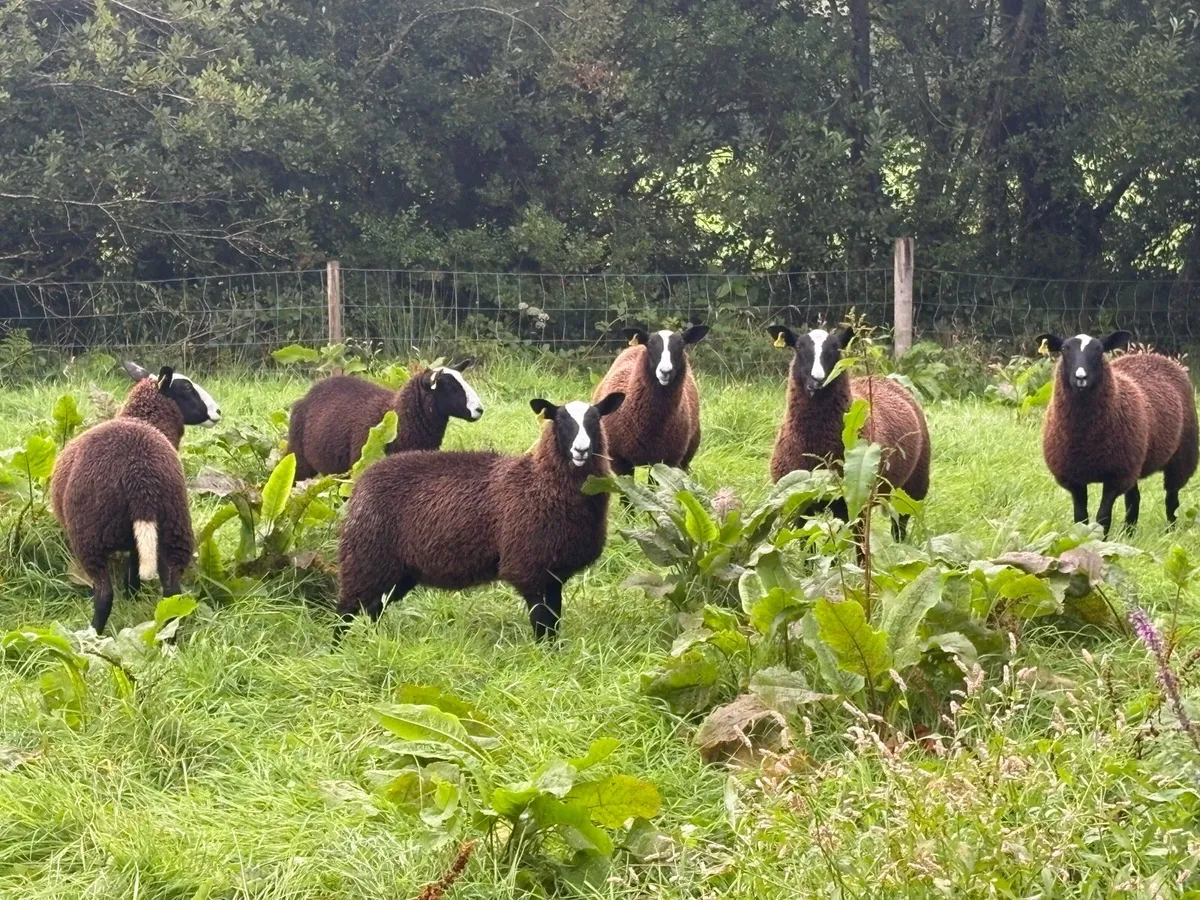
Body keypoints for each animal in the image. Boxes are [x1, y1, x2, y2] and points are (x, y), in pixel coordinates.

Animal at [50, 362, 221, 633]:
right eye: (186, 388)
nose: (218, 412)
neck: (144, 419)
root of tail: (141, 477)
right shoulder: (136, 539)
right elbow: (133, 565)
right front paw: (133, 594)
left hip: (89, 538)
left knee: (104, 596)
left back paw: (92, 636)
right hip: (175, 527)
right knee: (172, 593)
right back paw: (168, 636)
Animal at [337, 391, 626, 639]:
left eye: (595, 419)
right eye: (561, 421)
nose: (581, 450)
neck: (539, 483)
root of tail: (362, 481)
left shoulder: (554, 572)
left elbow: (553, 622)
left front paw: (555, 653)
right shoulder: (527, 567)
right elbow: (541, 621)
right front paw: (543, 654)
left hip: (399, 570)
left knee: (374, 607)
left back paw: (375, 641)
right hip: (366, 557)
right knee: (346, 610)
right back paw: (338, 650)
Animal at [591, 326, 708, 475]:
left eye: (681, 345)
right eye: (650, 345)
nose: (665, 372)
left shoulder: (667, 462)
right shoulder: (619, 461)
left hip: (685, 458)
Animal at [766, 325, 931, 539]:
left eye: (836, 348)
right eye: (799, 347)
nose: (817, 381)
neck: (817, 445)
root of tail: (885, 378)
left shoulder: (853, 504)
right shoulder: (799, 504)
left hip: (912, 488)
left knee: (899, 527)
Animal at [1036, 331, 1198, 535]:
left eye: (1099, 350)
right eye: (1065, 349)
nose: (1081, 377)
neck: (1084, 438)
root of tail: (1153, 355)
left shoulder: (1116, 476)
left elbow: (1103, 518)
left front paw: (1100, 539)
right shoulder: (1074, 479)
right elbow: (1081, 518)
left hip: (1181, 456)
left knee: (1172, 498)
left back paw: (1171, 530)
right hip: (1134, 462)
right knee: (1134, 498)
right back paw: (1129, 533)